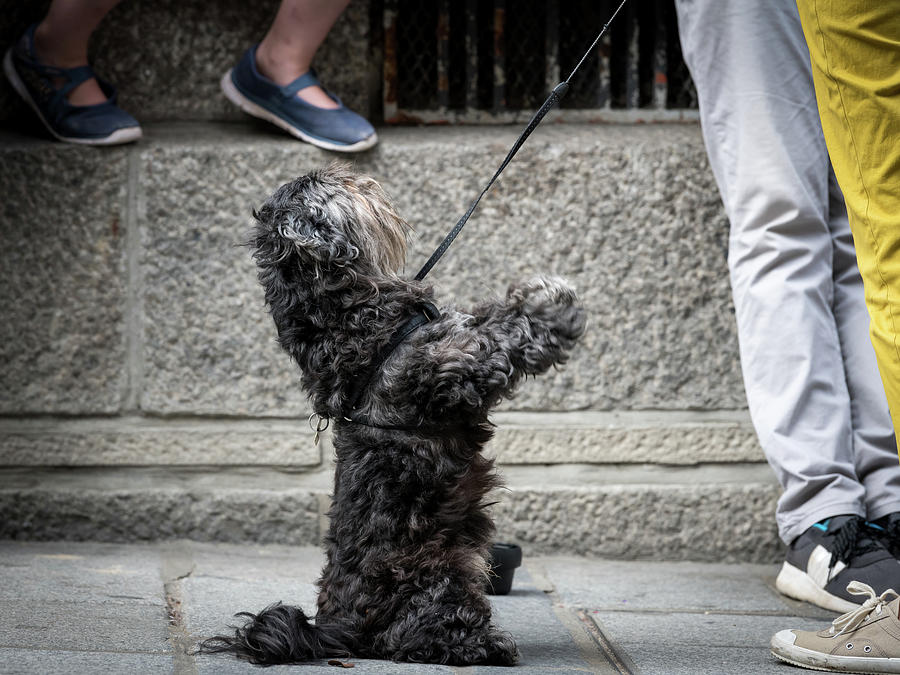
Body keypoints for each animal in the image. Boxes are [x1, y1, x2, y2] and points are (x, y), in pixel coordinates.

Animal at [200, 164, 588, 664]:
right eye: (325, 187)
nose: (347, 171)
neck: (343, 312)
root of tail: (336, 626)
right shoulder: (452, 367)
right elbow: (503, 334)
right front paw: (552, 304)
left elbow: (486, 316)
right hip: (437, 577)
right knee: (423, 634)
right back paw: (484, 645)